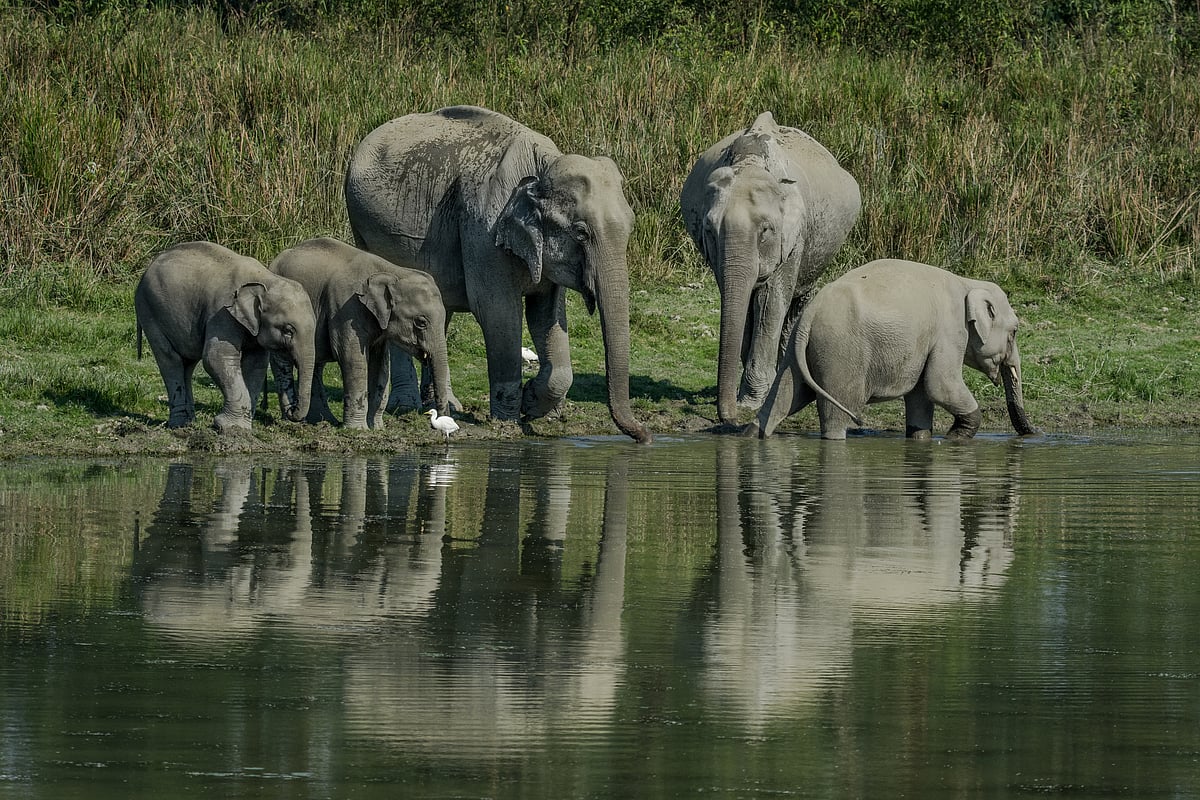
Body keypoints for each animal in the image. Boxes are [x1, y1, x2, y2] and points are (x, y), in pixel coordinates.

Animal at [134, 241, 317, 432]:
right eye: (288, 330)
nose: (292, 411)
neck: (265, 279)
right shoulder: (221, 313)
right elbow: (216, 357)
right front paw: (230, 428)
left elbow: (256, 364)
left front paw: (241, 428)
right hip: (149, 311)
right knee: (170, 360)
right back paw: (180, 425)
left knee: (187, 363)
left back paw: (190, 422)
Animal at [268, 237, 453, 430]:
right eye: (421, 322)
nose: (441, 419)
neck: (392, 271)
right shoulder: (345, 309)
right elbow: (351, 358)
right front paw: (358, 430)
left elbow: (381, 365)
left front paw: (377, 428)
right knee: (282, 361)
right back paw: (291, 419)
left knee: (315, 363)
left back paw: (319, 420)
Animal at [344, 105, 651, 443]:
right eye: (581, 233)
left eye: (631, 227)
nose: (645, 437)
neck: (542, 166)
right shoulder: (483, 230)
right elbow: (498, 311)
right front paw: (509, 420)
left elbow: (547, 316)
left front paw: (532, 403)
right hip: (364, 228)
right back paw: (408, 405)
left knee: (440, 312)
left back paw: (446, 405)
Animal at [680, 111, 862, 426]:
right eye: (709, 230)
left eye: (765, 230)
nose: (731, 421)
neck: (750, 162)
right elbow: (741, 302)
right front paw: (747, 397)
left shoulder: (794, 237)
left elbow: (770, 301)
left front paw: (752, 401)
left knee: (798, 298)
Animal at [749, 258, 1037, 440]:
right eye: (1014, 332)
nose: (1036, 434)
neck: (968, 283)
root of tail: (811, 312)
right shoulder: (950, 332)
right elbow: (940, 384)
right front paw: (956, 437)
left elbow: (922, 396)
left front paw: (922, 437)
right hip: (841, 354)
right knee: (836, 412)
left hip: (799, 349)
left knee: (785, 395)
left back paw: (753, 432)